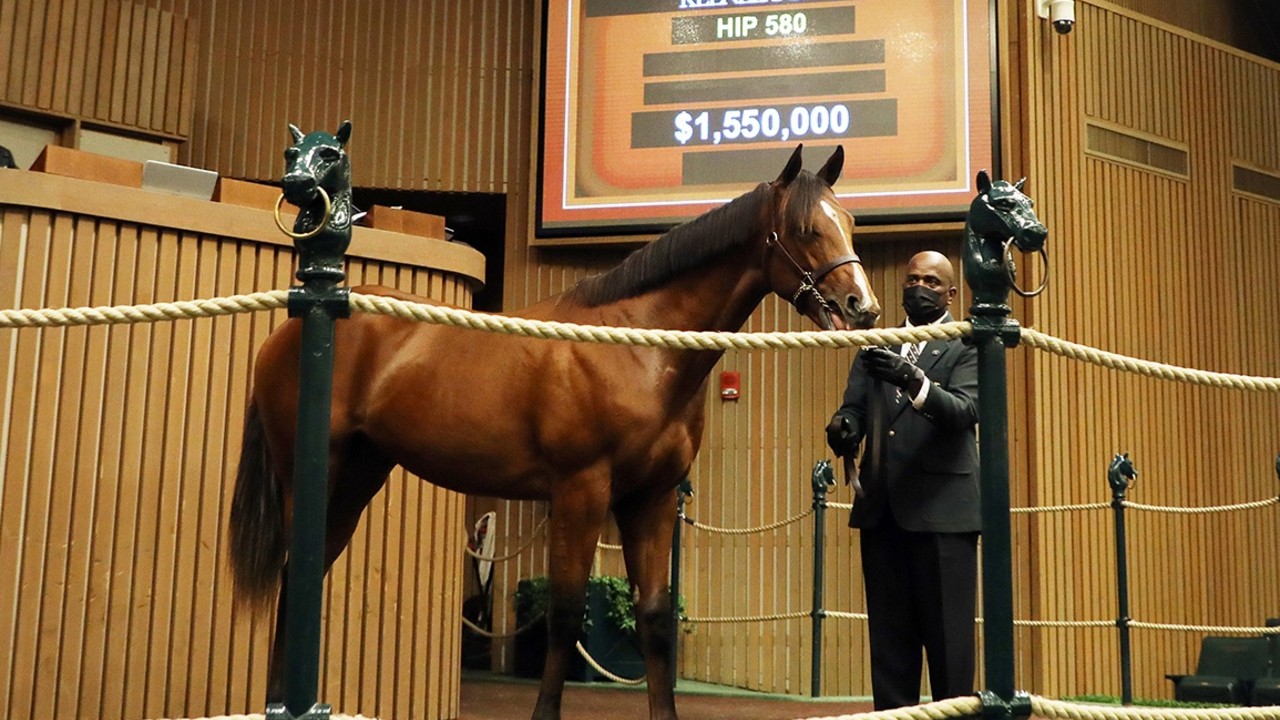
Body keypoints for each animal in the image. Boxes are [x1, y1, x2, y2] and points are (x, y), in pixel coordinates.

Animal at [227, 126, 880, 712]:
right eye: (805, 228)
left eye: (849, 222)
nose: (863, 307)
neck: (638, 345)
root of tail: (291, 325)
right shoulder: (580, 493)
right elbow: (564, 616)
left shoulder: (651, 499)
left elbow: (654, 619)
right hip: (314, 474)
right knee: (293, 572)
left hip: (359, 476)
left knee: (306, 572)